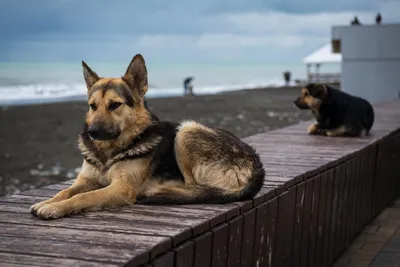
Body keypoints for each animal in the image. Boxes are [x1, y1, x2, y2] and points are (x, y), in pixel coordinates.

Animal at [29, 54, 264, 220]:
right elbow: (66, 191)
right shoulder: (86, 180)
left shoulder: (121, 188)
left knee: (193, 187)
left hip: (186, 131)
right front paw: (47, 202)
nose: (91, 132)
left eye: (115, 105)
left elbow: (83, 196)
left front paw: (55, 208)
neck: (108, 152)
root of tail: (257, 165)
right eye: (92, 106)